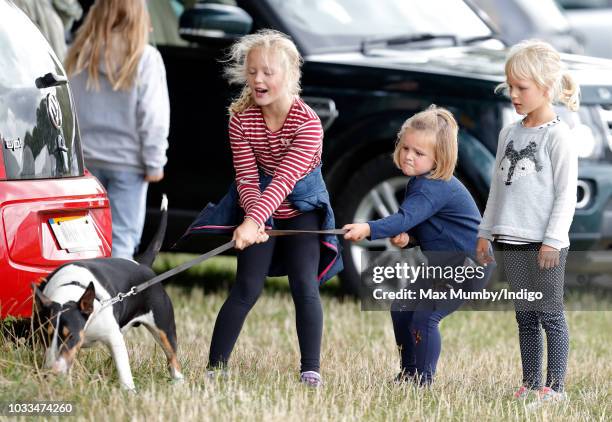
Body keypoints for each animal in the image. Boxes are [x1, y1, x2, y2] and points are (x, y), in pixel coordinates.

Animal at [32, 196, 182, 390]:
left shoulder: (113, 336)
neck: (70, 288)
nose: (52, 373)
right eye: (45, 335)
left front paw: (129, 391)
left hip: (164, 326)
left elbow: (124, 369)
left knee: (172, 356)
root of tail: (142, 265)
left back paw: (179, 382)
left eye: (70, 335)